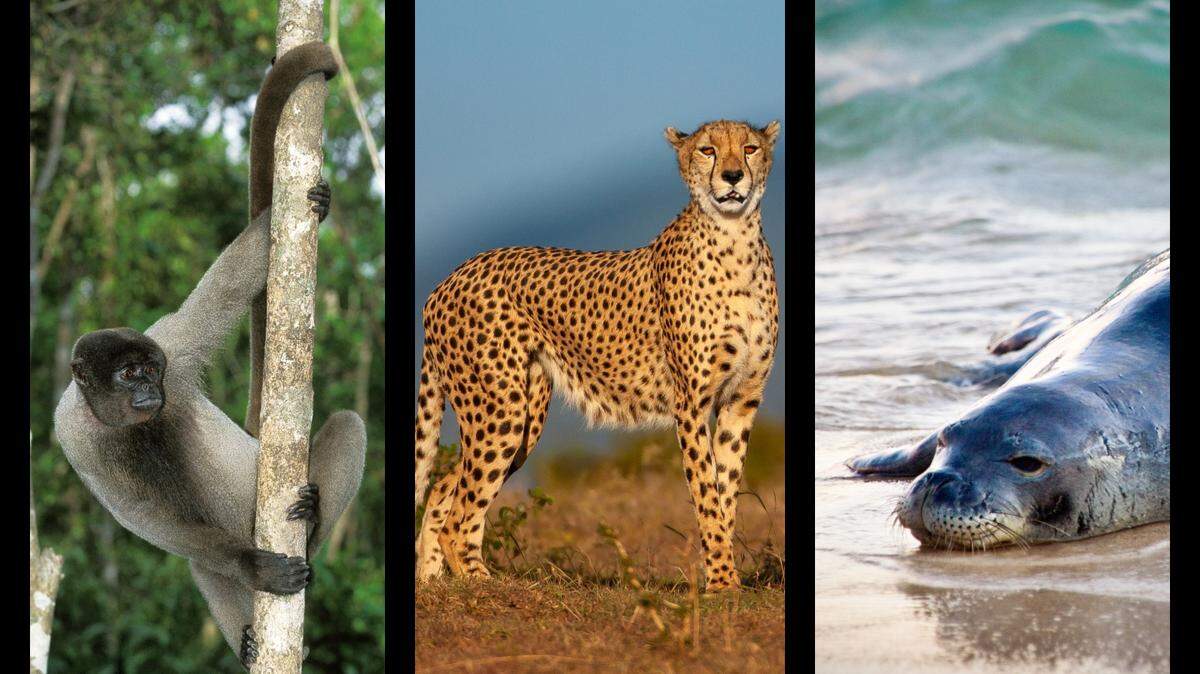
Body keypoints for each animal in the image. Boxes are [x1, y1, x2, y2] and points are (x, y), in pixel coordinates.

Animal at [52, 42, 365, 668]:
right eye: (127, 375)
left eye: (149, 370)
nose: (149, 390)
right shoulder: (72, 433)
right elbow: (143, 517)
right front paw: (251, 569)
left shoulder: (173, 342)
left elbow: (227, 286)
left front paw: (295, 211)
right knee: (203, 558)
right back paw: (246, 639)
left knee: (346, 422)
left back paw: (314, 524)